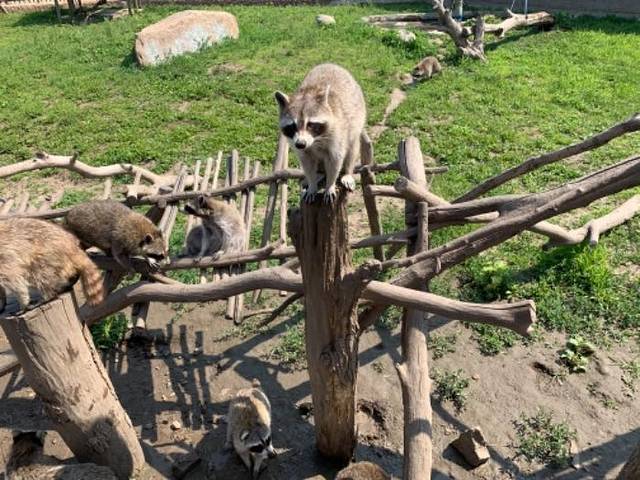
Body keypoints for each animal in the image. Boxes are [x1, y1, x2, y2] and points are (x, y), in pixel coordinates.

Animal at [274, 62, 364, 204]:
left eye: (310, 124)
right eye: (292, 126)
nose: (300, 144)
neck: (314, 141)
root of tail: (331, 63)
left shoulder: (337, 134)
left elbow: (335, 161)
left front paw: (330, 185)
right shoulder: (299, 146)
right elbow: (307, 163)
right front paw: (312, 185)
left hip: (356, 119)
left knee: (352, 149)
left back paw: (347, 172)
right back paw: (318, 174)